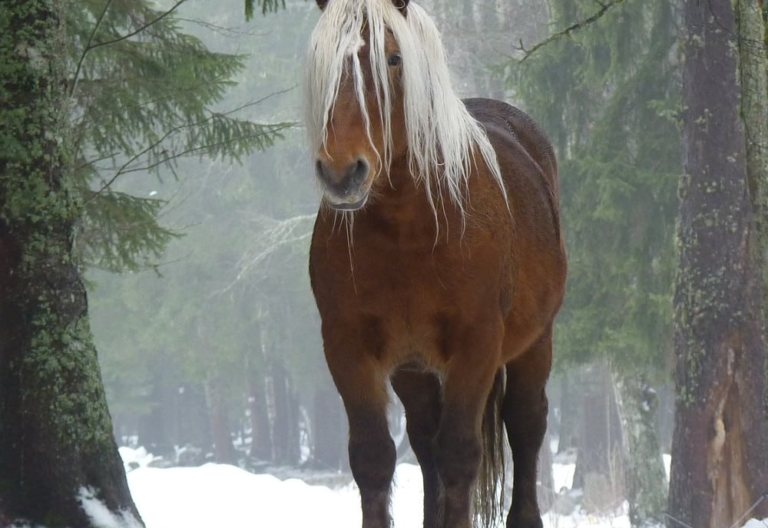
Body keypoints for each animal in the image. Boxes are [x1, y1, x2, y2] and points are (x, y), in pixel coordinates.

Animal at [304, 1, 564, 528]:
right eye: (323, 60)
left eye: (393, 59)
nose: (342, 172)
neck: (409, 229)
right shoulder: (348, 348)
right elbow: (374, 458)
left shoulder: (477, 346)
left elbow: (460, 456)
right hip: (415, 369)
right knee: (424, 444)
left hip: (535, 343)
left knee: (526, 424)